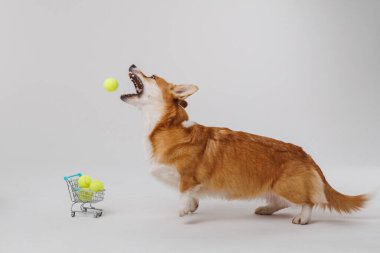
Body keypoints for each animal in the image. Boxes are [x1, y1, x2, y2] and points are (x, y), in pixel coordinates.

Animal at [121, 64, 368, 224]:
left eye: (152, 75)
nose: (132, 64)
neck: (165, 126)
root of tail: (305, 154)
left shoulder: (188, 176)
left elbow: (184, 191)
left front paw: (183, 210)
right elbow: (192, 196)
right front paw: (191, 207)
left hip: (285, 186)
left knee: (309, 201)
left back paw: (302, 218)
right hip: (275, 188)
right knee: (282, 202)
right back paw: (266, 209)